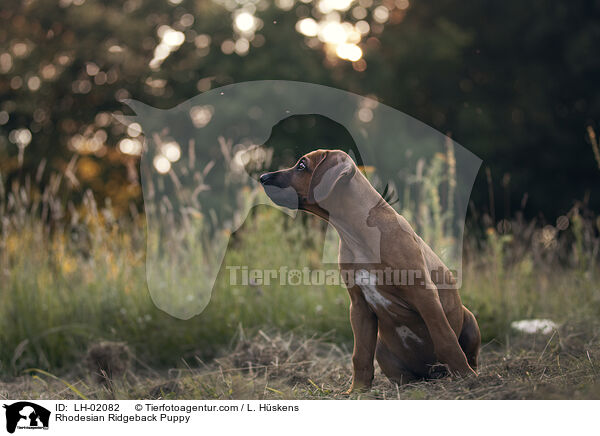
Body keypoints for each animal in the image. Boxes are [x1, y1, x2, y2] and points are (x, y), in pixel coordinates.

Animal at [260, 150, 480, 392]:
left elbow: (445, 338)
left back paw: (469, 372)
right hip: (382, 347)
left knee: (467, 352)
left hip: (470, 320)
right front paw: (357, 390)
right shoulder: (359, 306)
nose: (262, 177)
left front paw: (465, 376)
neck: (355, 233)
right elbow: (361, 355)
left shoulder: (423, 293)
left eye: (301, 166)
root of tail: (431, 375)